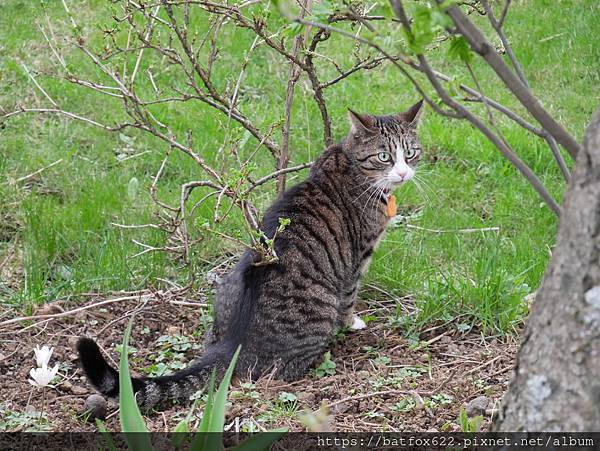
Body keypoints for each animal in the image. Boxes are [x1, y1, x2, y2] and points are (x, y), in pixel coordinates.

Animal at [77, 100, 424, 412]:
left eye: (410, 153)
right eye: (384, 156)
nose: (403, 173)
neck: (350, 164)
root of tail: (235, 342)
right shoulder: (359, 254)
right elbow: (351, 295)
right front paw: (353, 323)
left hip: (227, 284)